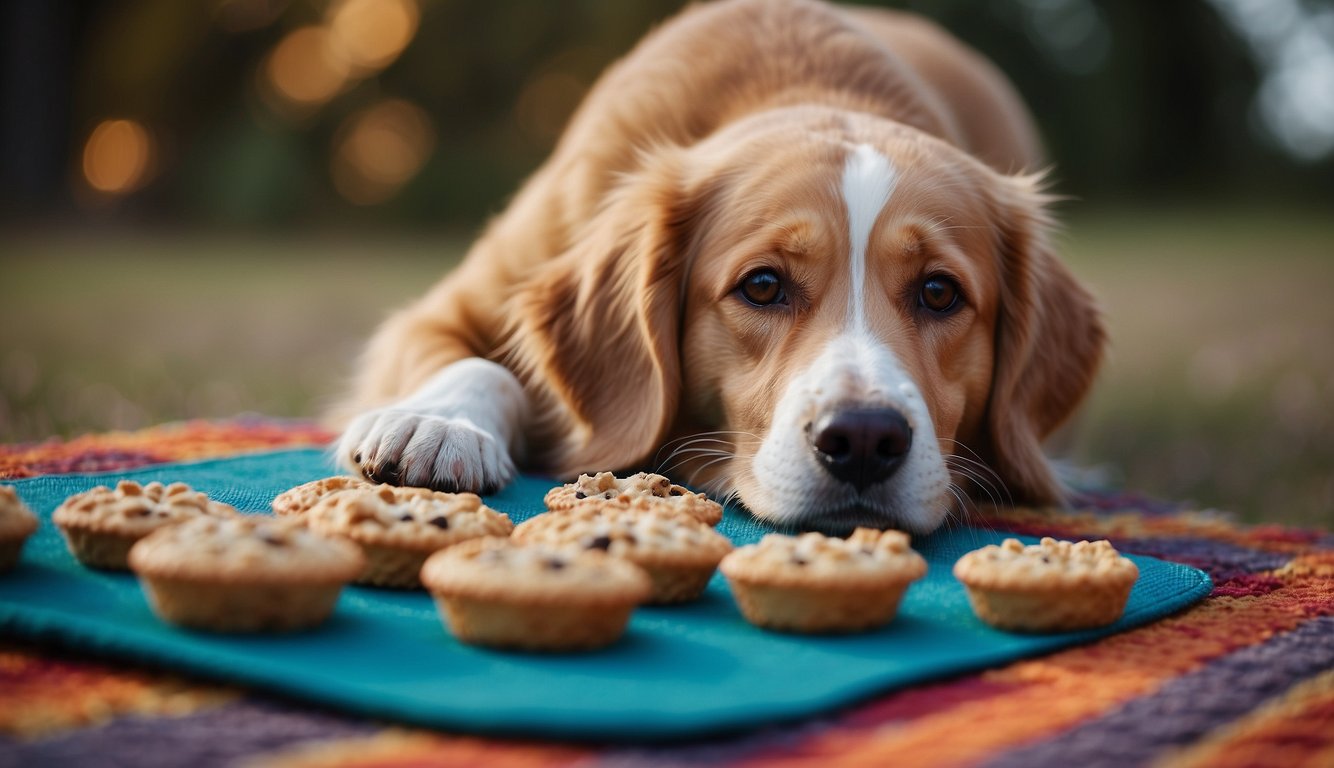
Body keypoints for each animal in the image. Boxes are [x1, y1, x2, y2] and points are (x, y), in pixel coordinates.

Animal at [333, 0, 1104, 533]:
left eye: (940, 293)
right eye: (762, 285)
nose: (863, 440)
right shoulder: (444, 310)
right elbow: (479, 363)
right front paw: (440, 423)